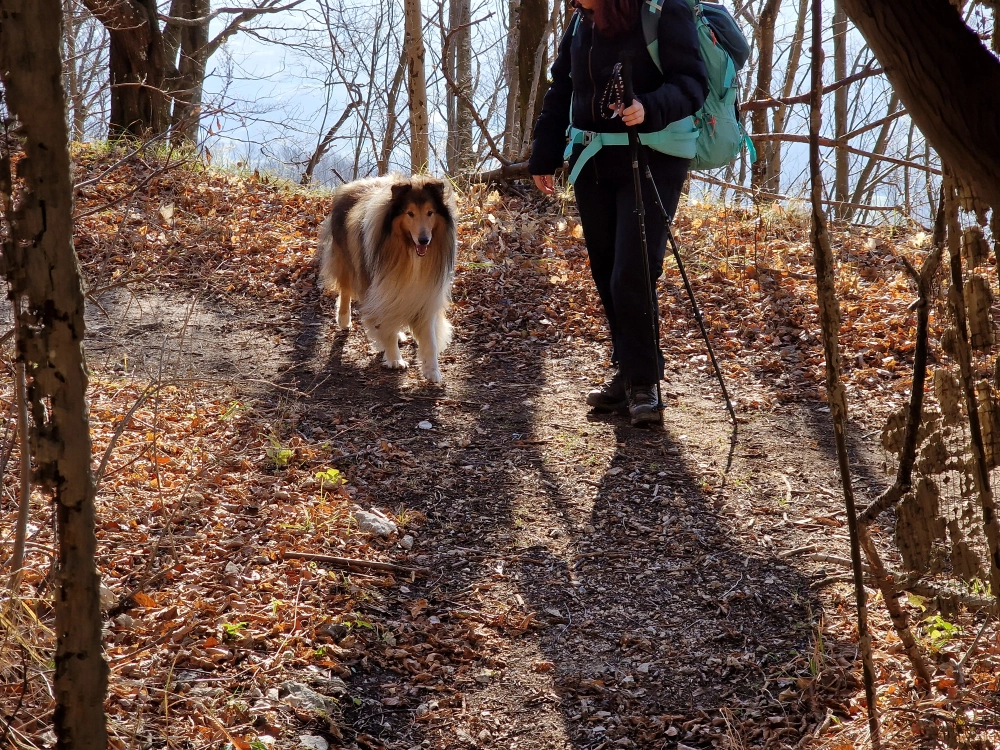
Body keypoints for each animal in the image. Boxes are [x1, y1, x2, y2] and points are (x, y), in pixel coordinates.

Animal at [316, 176, 458, 384]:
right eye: (410, 213)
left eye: (430, 212)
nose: (424, 240)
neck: (410, 253)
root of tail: (353, 184)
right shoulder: (381, 290)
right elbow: (385, 328)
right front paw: (394, 359)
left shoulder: (425, 295)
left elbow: (430, 339)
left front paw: (432, 371)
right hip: (348, 262)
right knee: (345, 290)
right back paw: (343, 319)